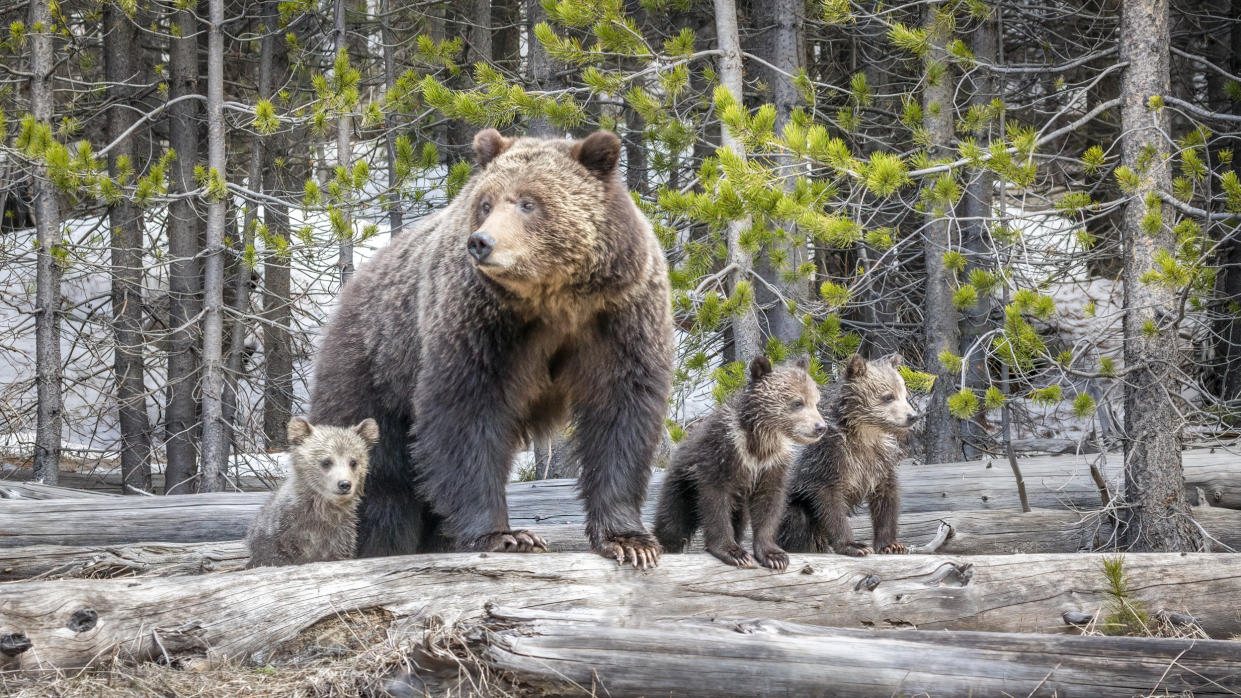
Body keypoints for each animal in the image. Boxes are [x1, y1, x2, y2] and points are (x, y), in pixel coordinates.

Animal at [312, 129, 680, 566]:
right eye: (485, 203)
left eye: (528, 202)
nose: (481, 242)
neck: (555, 299)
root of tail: (352, 289)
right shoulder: (482, 326)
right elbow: (467, 418)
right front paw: (506, 535)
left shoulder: (618, 320)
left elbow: (620, 418)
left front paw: (629, 541)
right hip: (375, 372)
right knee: (381, 477)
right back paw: (381, 543)